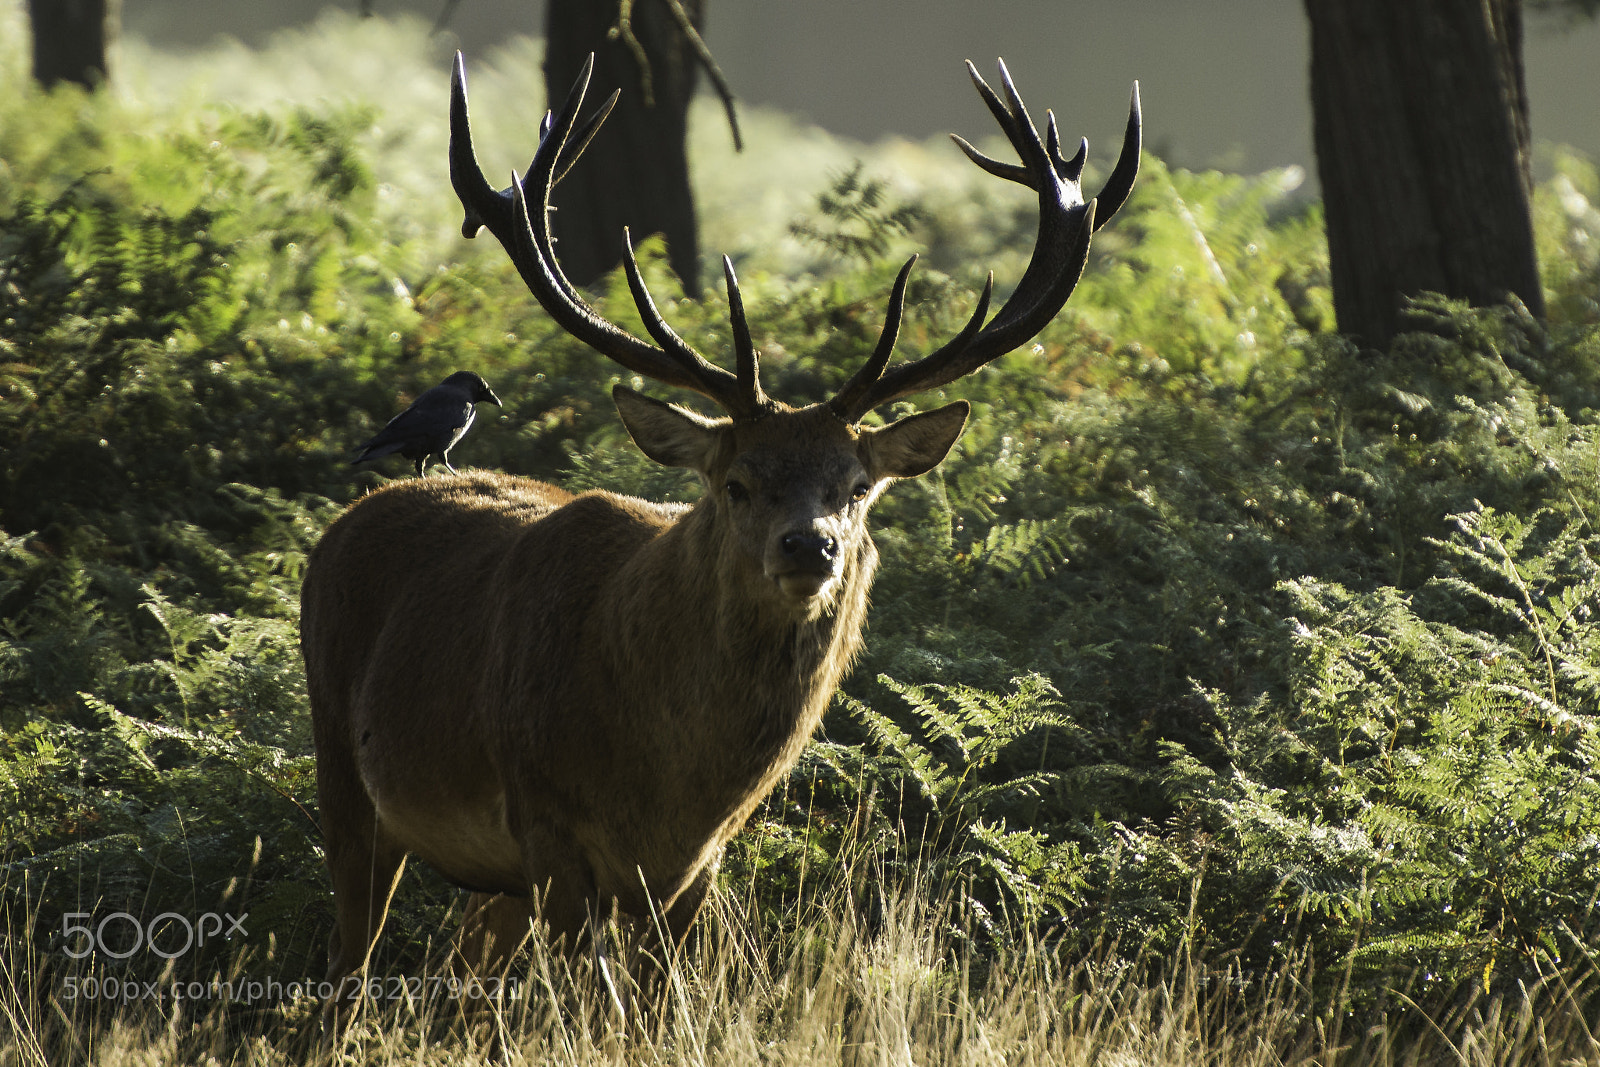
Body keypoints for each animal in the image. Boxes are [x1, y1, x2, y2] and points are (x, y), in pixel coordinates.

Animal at [300, 50, 1139, 1018]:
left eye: (857, 488)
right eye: (735, 483)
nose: (809, 546)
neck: (666, 785)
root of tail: (341, 525)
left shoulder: (697, 865)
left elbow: (660, 1006)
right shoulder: (546, 822)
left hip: (489, 879)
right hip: (346, 768)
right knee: (348, 961)